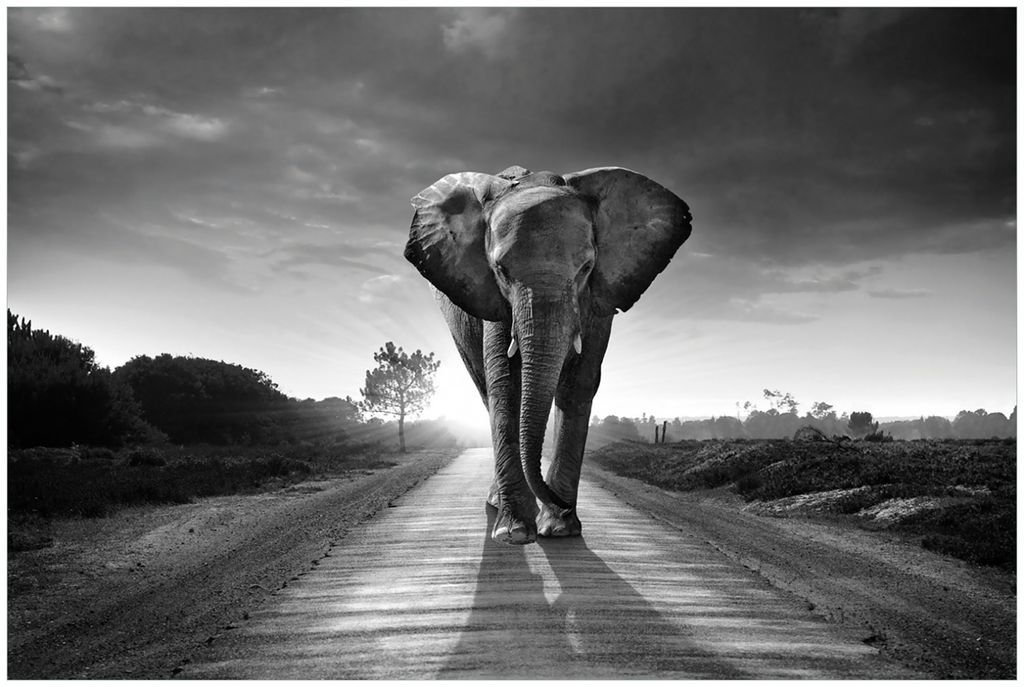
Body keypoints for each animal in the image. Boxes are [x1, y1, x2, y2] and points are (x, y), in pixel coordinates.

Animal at [404, 165, 692, 545]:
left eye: (586, 268)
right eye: (501, 270)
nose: (562, 504)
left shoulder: (597, 300)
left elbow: (578, 385)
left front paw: (560, 529)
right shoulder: (494, 302)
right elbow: (506, 385)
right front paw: (514, 532)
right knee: (486, 391)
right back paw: (498, 504)